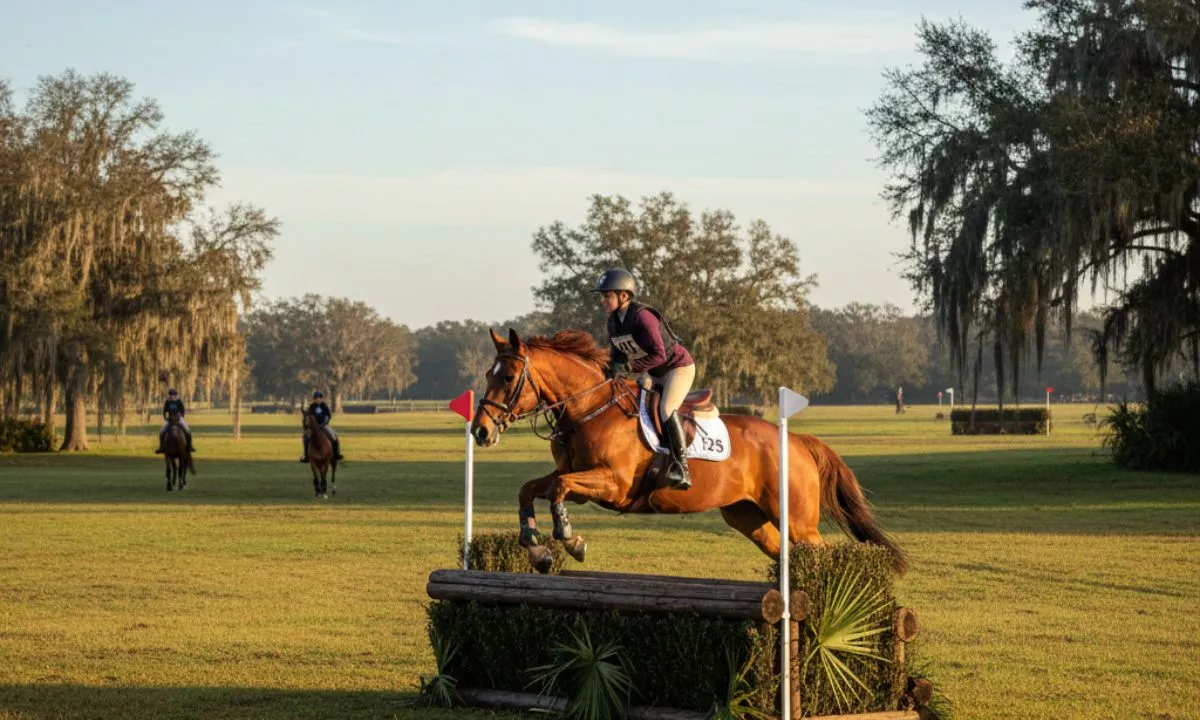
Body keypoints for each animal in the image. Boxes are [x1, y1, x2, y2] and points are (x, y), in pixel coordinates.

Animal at [471, 328, 908, 575]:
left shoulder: (612, 485)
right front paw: (537, 550)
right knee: (781, 550)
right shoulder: (580, 481)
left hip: (797, 522)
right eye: (490, 374)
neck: (589, 408)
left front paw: (569, 540)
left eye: (508, 377)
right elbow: (532, 489)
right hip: (747, 516)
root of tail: (798, 441)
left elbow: (558, 489)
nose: (480, 431)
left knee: (821, 552)